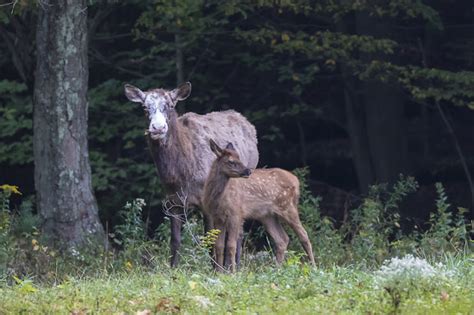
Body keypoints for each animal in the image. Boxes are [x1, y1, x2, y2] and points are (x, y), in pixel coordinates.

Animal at [123, 82, 260, 268]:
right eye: (144, 107)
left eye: (170, 105)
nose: (158, 127)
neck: (180, 173)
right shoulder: (172, 202)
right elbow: (175, 240)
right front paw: (173, 267)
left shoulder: (206, 202)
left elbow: (210, 239)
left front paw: (215, 269)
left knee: (239, 230)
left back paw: (235, 265)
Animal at [203, 139, 314, 272]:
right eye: (231, 161)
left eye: (239, 157)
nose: (248, 171)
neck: (218, 199)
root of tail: (297, 182)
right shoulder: (217, 217)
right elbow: (219, 246)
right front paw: (219, 272)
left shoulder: (236, 213)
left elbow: (231, 245)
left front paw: (233, 272)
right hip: (267, 216)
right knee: (282, 239)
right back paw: (276, 269)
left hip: (288, 207)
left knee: (304, 235)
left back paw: (314, 267)